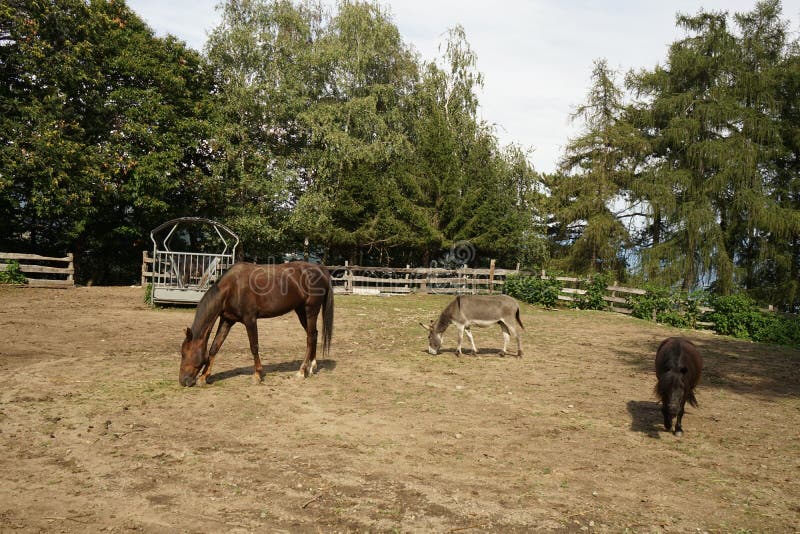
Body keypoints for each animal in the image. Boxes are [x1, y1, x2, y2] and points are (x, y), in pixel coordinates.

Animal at [180, 262, 332, 388]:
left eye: (183, 353)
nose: (182, 380)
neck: (232, 288)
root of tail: (321, 269)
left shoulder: (250, 320)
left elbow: (254, 346)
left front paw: (258, 375)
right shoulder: (227, 320)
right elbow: (214, 347)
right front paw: (204, 377)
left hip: (311, 310)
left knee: (310, 338)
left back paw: (302, 371)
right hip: (301, 311)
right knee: (314, 335)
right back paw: (312, 367)